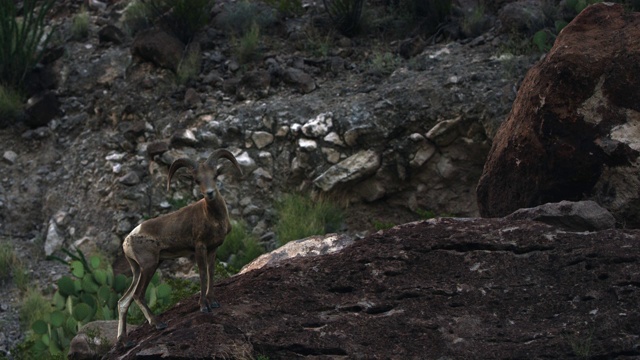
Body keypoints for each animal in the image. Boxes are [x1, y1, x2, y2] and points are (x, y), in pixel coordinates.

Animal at [116, 148, 244, 346]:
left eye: (214, 175)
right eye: (197, 180)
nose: (210, 193)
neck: (213, 217)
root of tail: (127, 241)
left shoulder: (213, 249)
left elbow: (211, 273)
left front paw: (213, 302)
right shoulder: (199, 248)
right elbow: (202, 275)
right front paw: (203, 306)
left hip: (138, 270)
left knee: (123, 301)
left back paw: (125, 341)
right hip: (149, 266)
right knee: (137, 295)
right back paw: (158, 324)